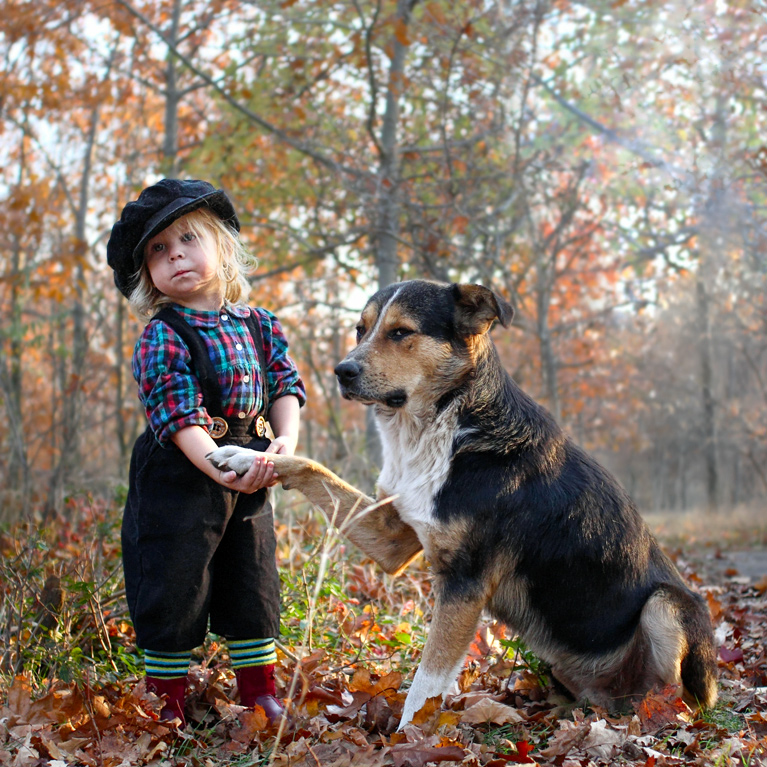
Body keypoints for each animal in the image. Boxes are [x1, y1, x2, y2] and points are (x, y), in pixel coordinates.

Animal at [206, 280, 720, 728]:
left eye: (401, 332)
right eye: (360, 328)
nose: (342, 372)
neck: (444, 426)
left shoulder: (465, 585)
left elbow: (425, 681)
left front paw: (406, 737)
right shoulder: (394, 537)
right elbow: (313, 469)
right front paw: (245, 456)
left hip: (667, 606)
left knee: (674, 695)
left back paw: (653, 719)